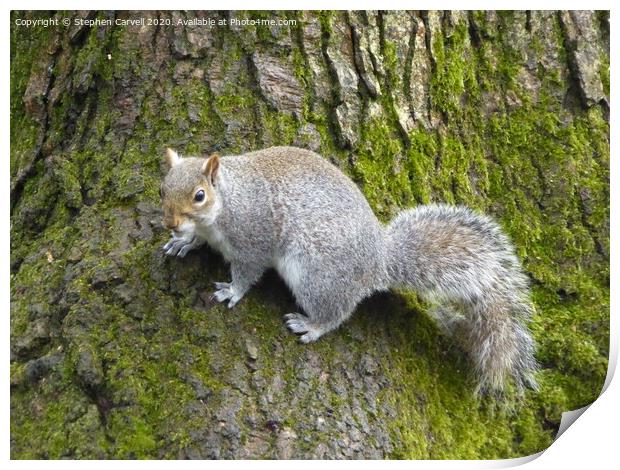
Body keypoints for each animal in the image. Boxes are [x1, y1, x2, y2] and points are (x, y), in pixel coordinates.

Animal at [160, 146, 536, 392]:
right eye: (162, 187)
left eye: (199, 195)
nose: (170, 223)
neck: (227, 202)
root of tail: (378, 262)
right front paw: (183, 242)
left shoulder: (254, 236)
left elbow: (248, 271)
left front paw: (232, 290)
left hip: (316, 276)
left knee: (336, 312)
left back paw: (311, 325)